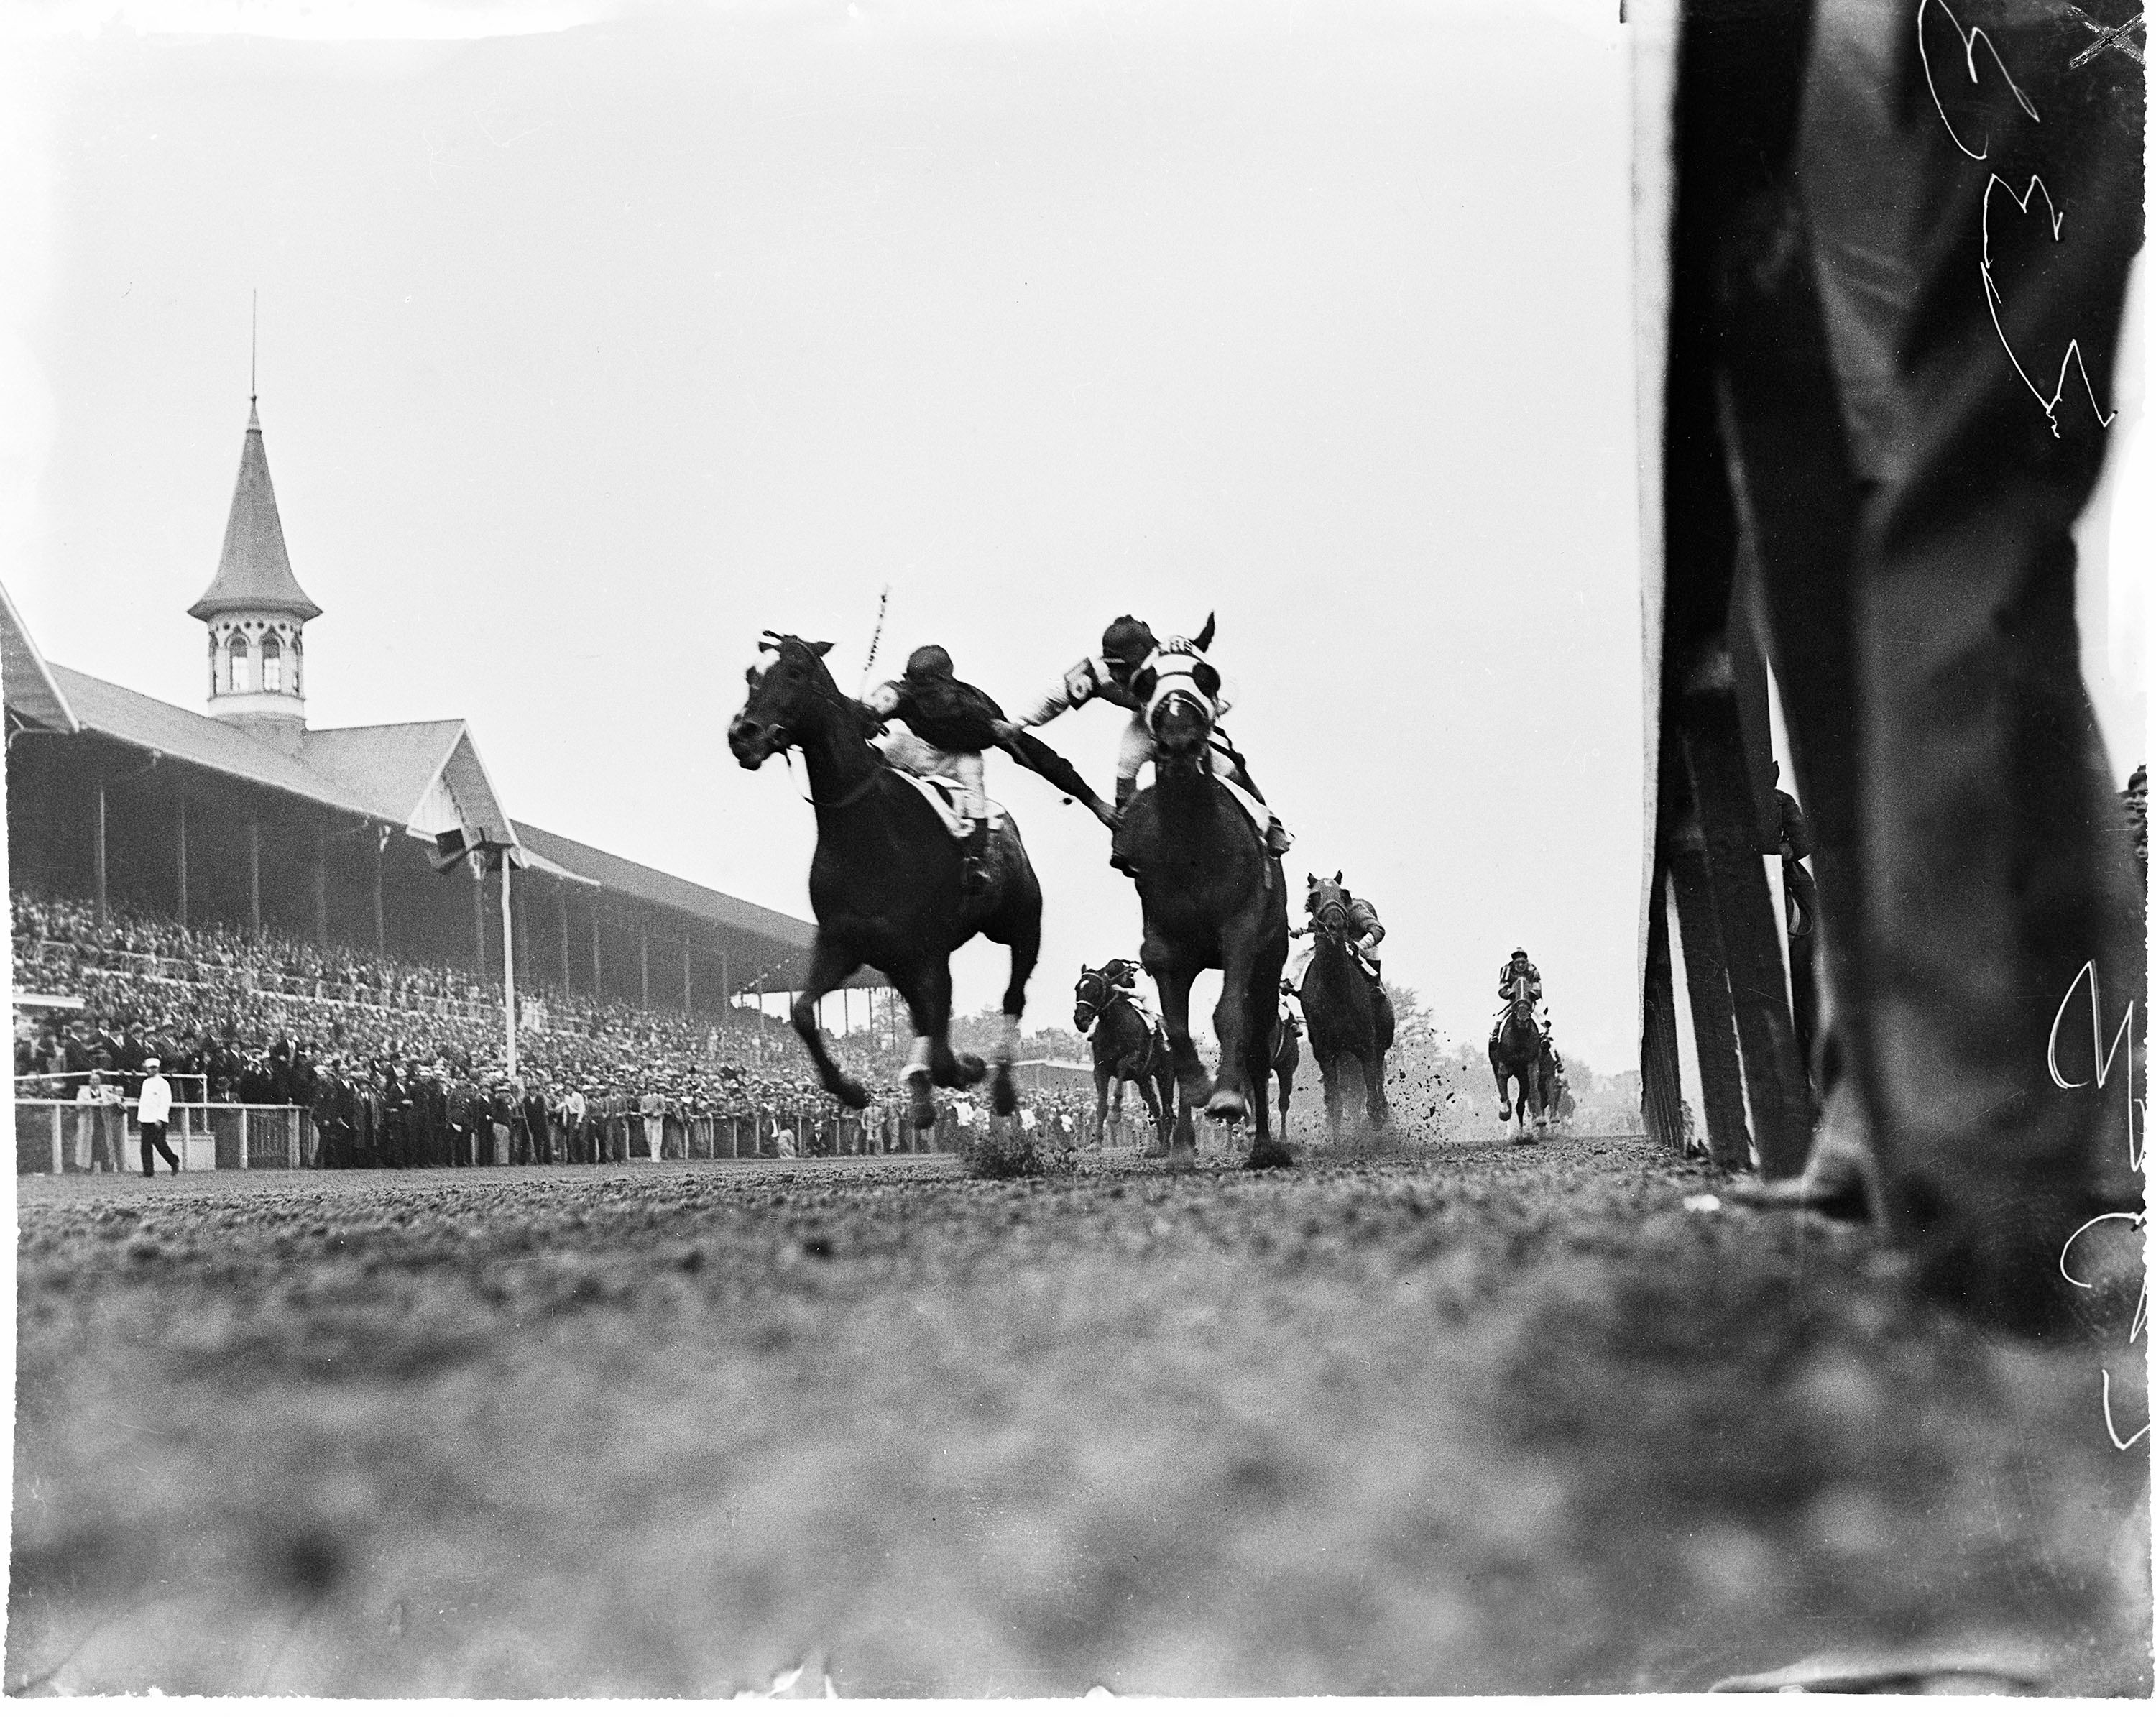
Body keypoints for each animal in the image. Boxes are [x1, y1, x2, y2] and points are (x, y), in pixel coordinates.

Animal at [729, 638, 1048, 1130]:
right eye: (751, 675)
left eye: (796, 672)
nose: (742, 734)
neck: (869, 832)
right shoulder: (845, 942)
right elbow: (801, 1012)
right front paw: (852, 1090)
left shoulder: (928, 950)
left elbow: (940, 1041)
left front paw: (964, 1070)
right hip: (901, 961)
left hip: (1021, 926)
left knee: (1013, 995)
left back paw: (1001, 1089)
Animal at [1069, 966, 1173, 1156]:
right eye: (1077, 988)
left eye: (1096, 989)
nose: (1080, 1020)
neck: (1115, 1025)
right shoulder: (1100, 1068)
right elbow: (1101, 1105)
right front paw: (1096, 1144)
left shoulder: (1133, 1062)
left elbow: (1121, 1069)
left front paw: (1116, 1112)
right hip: (1144, 1078)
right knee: (1155, 1106)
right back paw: (1159, 1146)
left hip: (1166, 1073)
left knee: (1167, 1109)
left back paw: (1165, 1148)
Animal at [1104, 617, 1285, 1164]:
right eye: (1145, 682)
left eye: (1207, 675)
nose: (1180, 739)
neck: (1193, 847)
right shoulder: (1164, 947)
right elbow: (1177, 1028)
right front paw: (1200, 1093)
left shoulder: (1241, 930)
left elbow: (1230, 1016)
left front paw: (1226, 1098)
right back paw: (1183, 1142)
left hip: (1271, 958)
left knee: (1257, 1038)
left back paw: (1263, 1142)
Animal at [1294, 880, 1397, 1147]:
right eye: (1314, 897)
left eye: (1343, 894)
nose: (1336, 926)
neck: (1336, 993)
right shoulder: (1326, 1052)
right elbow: (1335, 1101)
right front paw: (1335, 1135)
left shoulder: (1367, 1045)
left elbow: (1373, 1096)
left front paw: (1378, 1122)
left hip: (1377, 1046)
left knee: (1376, 1081)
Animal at [1483, 970, 1552, 1130]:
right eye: (1513, 995)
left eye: (1531, 994)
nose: (1522, 1020)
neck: (1519, 1038)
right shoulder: (1503, 1063)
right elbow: (1502, 1083)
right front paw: (1504, 1111)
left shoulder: (1532, 1063)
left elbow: (1534, 1087)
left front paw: (1539, 1119)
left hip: (1524, 1078)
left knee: (1521, 1105)